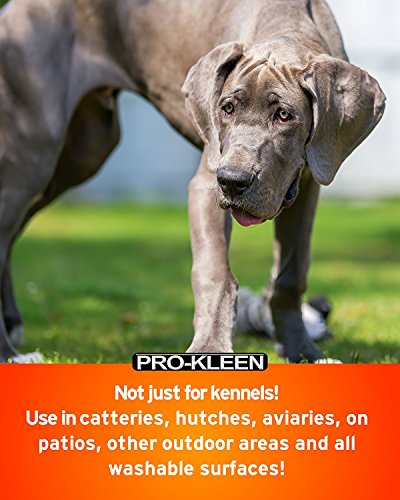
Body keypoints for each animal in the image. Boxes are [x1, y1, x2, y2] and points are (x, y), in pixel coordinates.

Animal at [0, 0, 385, 363]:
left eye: (284, 115)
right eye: (227, 108)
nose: (233, 182)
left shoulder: (306, 183)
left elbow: (291, 272)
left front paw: (302, 352)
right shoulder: (205, 184)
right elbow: (215, 273)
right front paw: (211, 349)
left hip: (83, 152)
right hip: (33, 148)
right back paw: (10, 352)